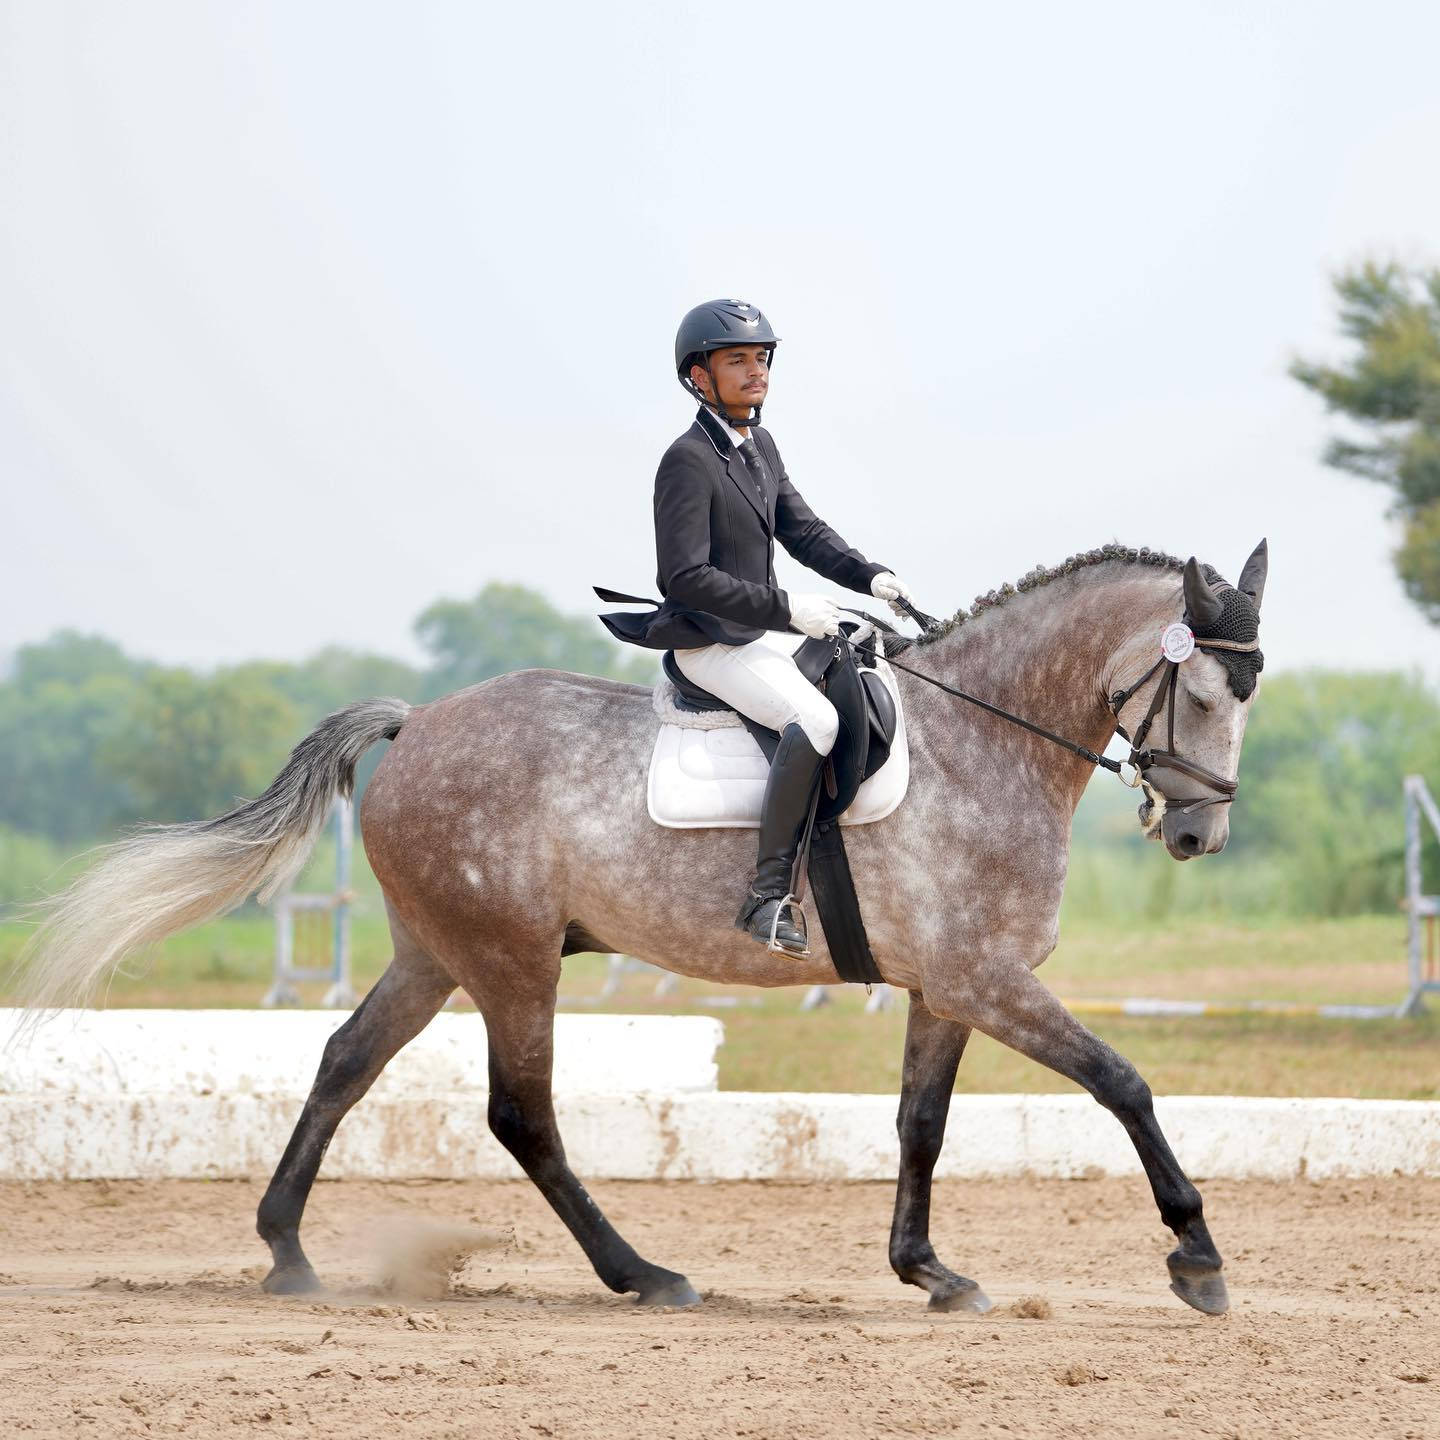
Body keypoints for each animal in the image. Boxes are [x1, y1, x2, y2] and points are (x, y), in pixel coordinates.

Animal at [15, 540, 1267, 1318]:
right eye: (1206, 694)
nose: (1198, 835)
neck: (985, 744)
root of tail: (418, 722)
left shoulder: (949, 986)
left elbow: (921, 1125)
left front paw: (929, 1273)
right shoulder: (988, 977)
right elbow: (1123, 1083)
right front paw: (1197, 1257)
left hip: (435, 954)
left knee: (343, 1065)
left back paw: (286, 1250)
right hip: (512, 960)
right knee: (522, 1116)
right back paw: (645, 1273)